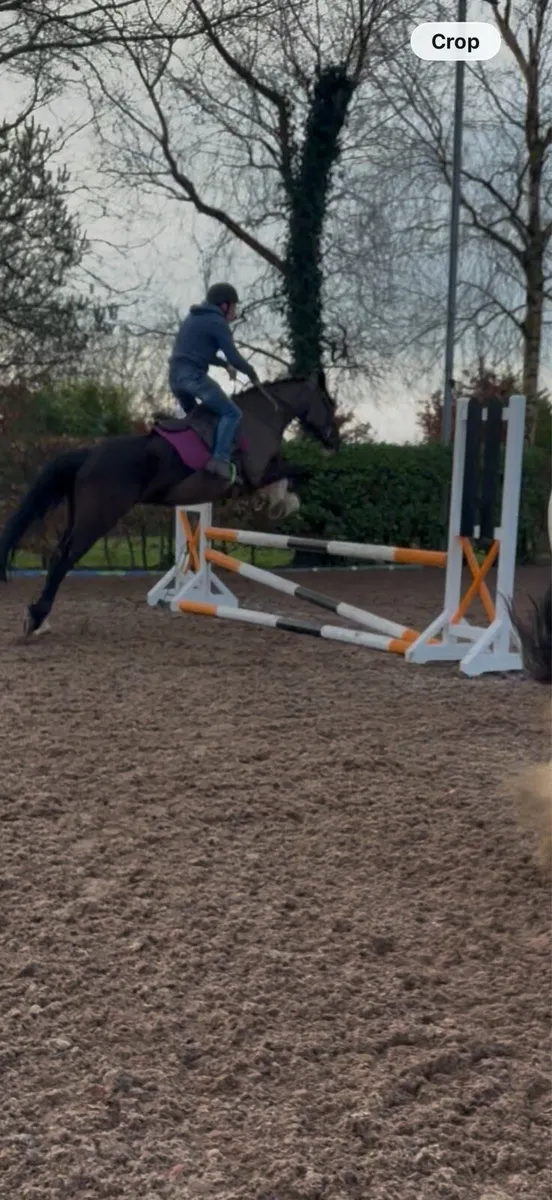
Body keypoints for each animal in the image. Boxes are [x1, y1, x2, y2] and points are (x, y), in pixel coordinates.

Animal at [0, 371, 340, 636]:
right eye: (328, 403)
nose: (334, 441)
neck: (259, 417)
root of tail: (88, 454)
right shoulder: (259, 473)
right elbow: (297, 473)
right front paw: (282, 503)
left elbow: (288, 474)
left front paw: (272, 501)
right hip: (97, 519)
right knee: (63, 559)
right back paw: (36, 617)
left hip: (80, 516)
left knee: (59, 555)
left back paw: (39, 618)